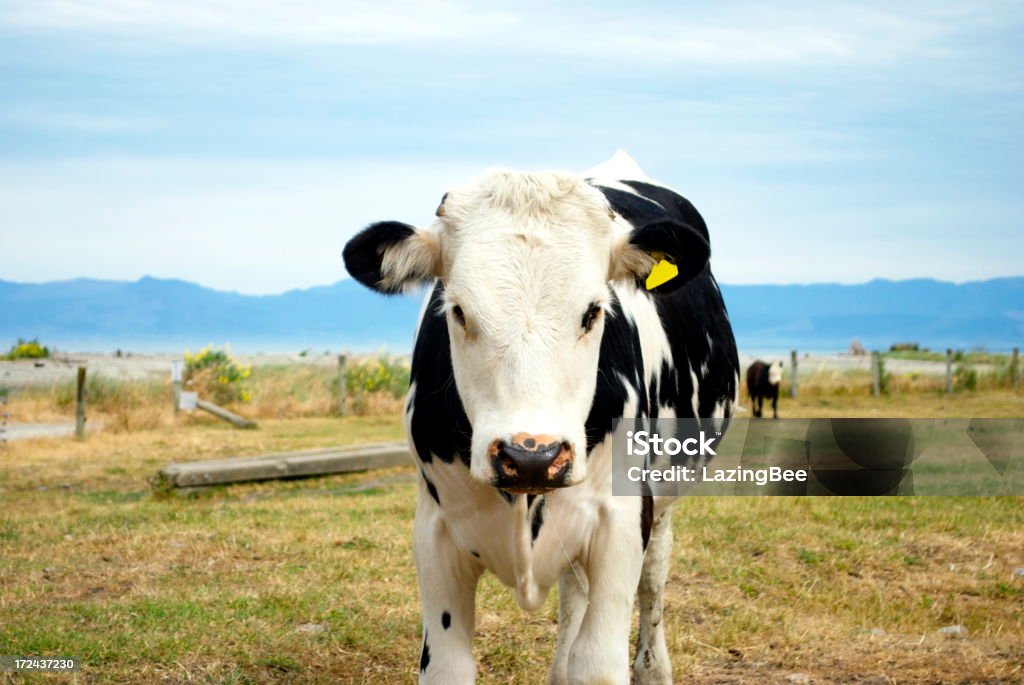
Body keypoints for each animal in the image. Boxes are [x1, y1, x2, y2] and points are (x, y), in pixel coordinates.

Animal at [342, 152, 737, 679]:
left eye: (593, 311)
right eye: (458, 310)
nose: (531, 456)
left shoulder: (622, 520)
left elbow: (598, 662)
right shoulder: (435, 532)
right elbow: (447, 668)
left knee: (653, 579)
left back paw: (653, 667)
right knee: (574, 594)